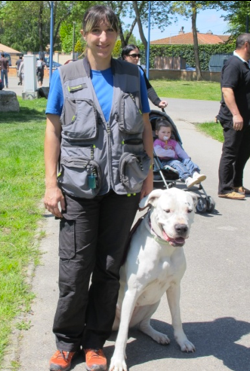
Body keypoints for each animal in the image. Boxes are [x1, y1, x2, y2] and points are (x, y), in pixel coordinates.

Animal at [109, 189, 197, 371]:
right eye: (167, 210)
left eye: (189, 210)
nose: (181, 228)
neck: (164, 247)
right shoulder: (132, 291)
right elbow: (122, 334)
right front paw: (118, 360)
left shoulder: (174, 287)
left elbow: (177, 317)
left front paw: (183, 341)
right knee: (122, 327)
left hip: (153, 302)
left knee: (143, 325)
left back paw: (157, 335)